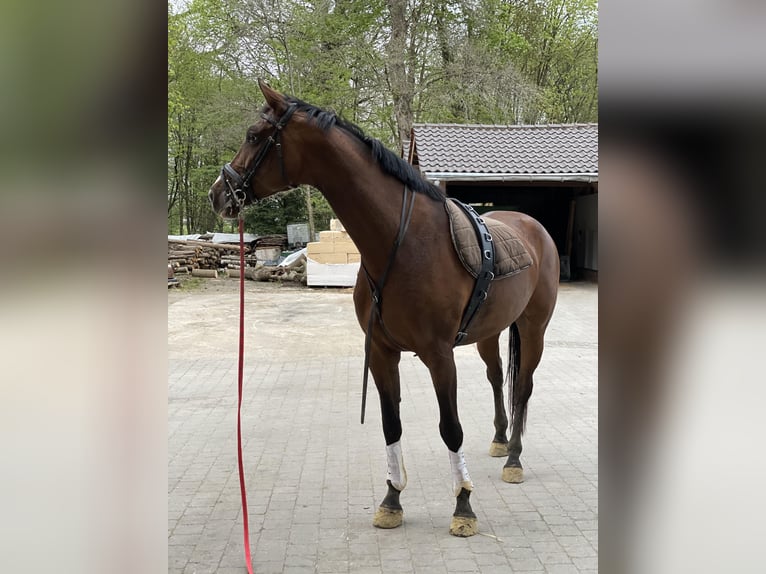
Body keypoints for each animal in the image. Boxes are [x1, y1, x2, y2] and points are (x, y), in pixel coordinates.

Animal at [208, 81, 560, 540]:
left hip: (533, 328)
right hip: (489, 333)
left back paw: (515, 457)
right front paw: (391, 500)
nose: (218, 194)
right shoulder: (381, 352)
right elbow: (391, 424)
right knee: (497, 378)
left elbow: (451, 428)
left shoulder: (438, 355)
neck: (404, 241)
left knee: (524, 386)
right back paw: (500, 441)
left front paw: (463, 507)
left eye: (254, 135)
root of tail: (533, 226)